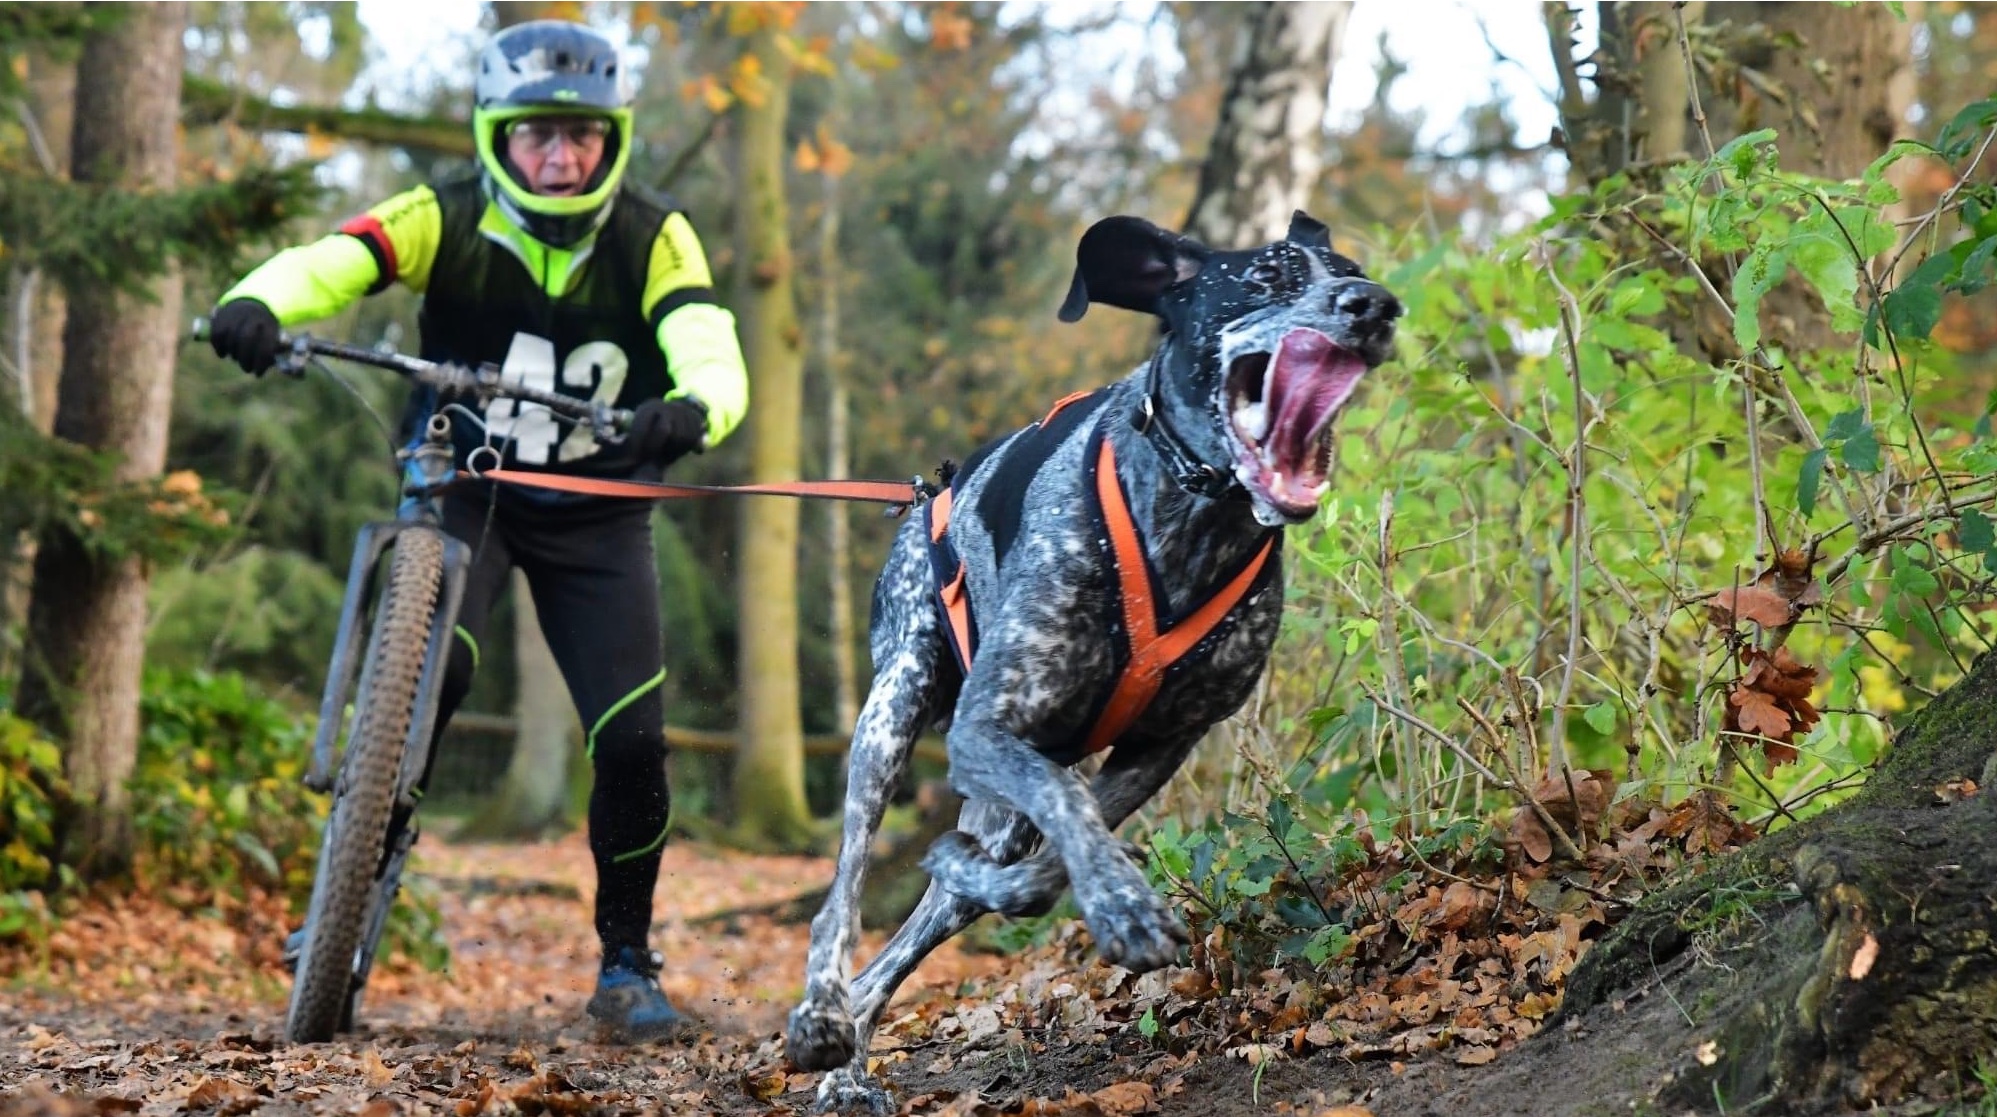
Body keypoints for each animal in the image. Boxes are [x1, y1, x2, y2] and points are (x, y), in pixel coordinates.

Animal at [782, 213, 1405, 1111]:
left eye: (1350, 268)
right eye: (1266, 278)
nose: (1374, 304)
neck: (1195, 516)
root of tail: (922, 492)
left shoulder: (1160, 747)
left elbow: (1052, 857)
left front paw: (1026, 882)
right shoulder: (985, 728)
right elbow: (1064, 796)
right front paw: (1121, 906)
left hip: (989, 809)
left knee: (907, 940)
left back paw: (855, 1043)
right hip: (891, 711)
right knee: (842, 896)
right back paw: (821, 1021)